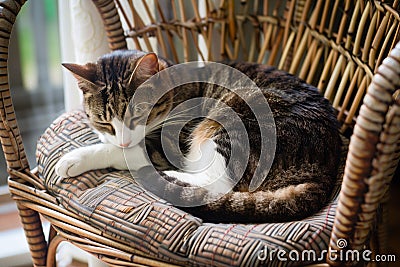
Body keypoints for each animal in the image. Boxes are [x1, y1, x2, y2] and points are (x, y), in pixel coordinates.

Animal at [54, 49, 342, 224]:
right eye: (104, 121)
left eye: (138, 116)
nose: (124, 138)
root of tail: (325, 168)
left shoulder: (169, 144)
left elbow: (121, 152)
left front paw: (74, 159)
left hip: (233, 123)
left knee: (216, 184)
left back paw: (169, 177)